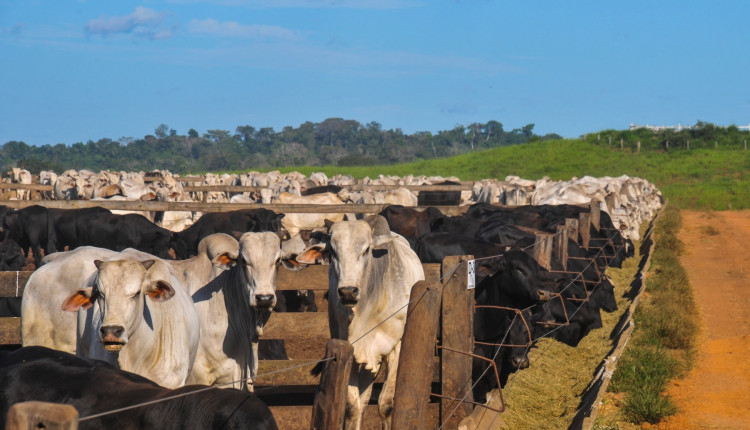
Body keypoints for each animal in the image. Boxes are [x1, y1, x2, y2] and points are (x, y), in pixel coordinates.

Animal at [296, 218, 424, 430]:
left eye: (366, 250)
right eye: (332, 251)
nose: (348, 291)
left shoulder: (396, 346)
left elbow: (386, 404)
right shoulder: (350, 348)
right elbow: (352, 407)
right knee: (362, 401)